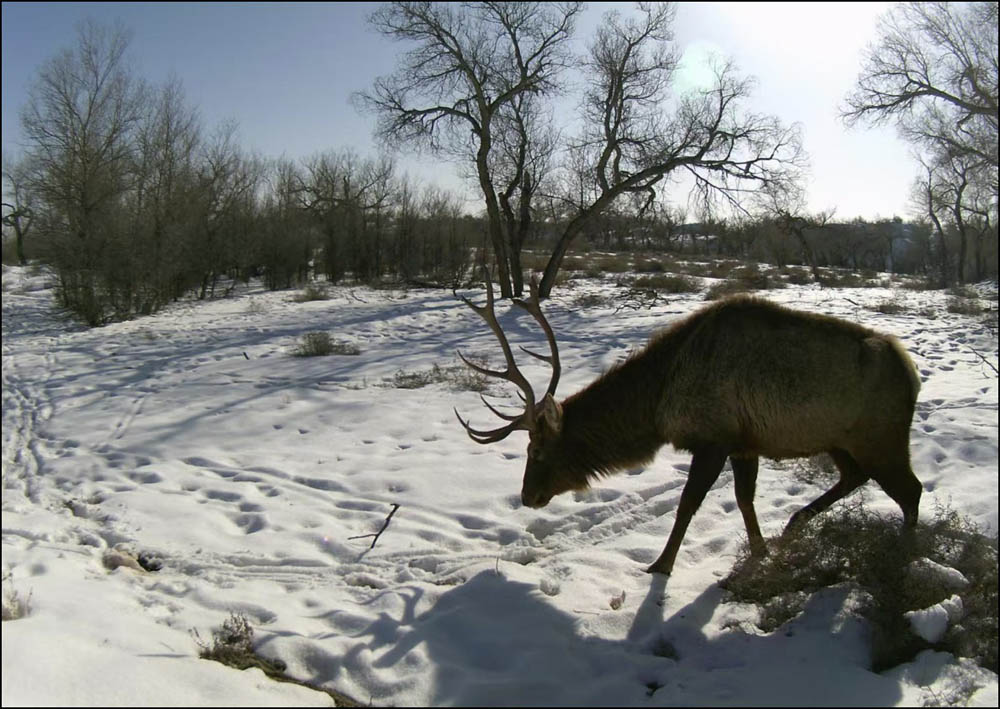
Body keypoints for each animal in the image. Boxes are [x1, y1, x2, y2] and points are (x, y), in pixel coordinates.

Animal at [454, 276, 923, 576]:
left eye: (536, 450)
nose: (527, 496)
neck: (658, 405)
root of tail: (913, 374)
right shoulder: (744, 442)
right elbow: (745, 500)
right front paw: (760, 551)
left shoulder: (713, 439)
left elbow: (687, 504)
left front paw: (661, 565)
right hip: (840, 441)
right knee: (855, 477)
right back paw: (796, 522)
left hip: (882, 437)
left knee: (911, 491)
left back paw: (902, 555)